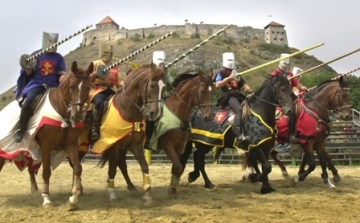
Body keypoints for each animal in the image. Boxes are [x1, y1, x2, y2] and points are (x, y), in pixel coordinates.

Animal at [0, 61, 92, 207]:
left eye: (88, 88)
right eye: (72, 86)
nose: (77, 116)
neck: (62, 114)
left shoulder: (71, 145)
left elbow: (78, 168)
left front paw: (73, 198)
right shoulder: (46, 147)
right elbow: (46, 172)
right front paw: (46, 198)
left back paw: (34, 189)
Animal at [84, 61, 167, 205]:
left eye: (164, 88)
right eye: (152, 85)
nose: (154, 114)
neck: (126, 108)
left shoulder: (134, 145)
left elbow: (144, 166)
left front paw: (147, 195)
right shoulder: (112, 146)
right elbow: (112, 169)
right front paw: (112, 195)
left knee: (122, 165)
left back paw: (131, 187)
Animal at [116, 69, 215, 197]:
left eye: (213, 92)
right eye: (202, 91)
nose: (208, 116)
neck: (177, 112)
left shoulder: (179, 146)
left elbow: (177, 168)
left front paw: (173, 188)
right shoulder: (167, 146)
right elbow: (178, 166)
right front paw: (172, 189)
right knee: (122, 164)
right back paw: (131, 187)